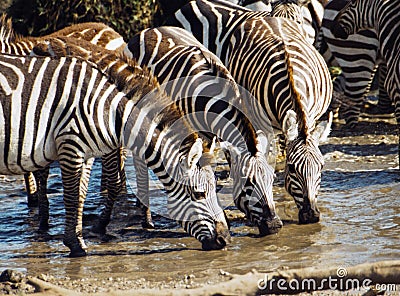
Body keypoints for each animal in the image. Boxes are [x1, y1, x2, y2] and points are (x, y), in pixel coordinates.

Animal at [0, 53, 230, 256]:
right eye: (199, 194)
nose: (225, 240)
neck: (109, 111)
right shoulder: (70, 144)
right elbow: (72, 197)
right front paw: (77, 246)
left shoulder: (86, 154)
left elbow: (81, 195)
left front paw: (76, 239)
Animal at [123, 26, 282, 236]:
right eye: (247, 182)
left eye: (272, 179)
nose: (274, 226)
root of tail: (150, 29)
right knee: (140, 162)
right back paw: (147, 217)